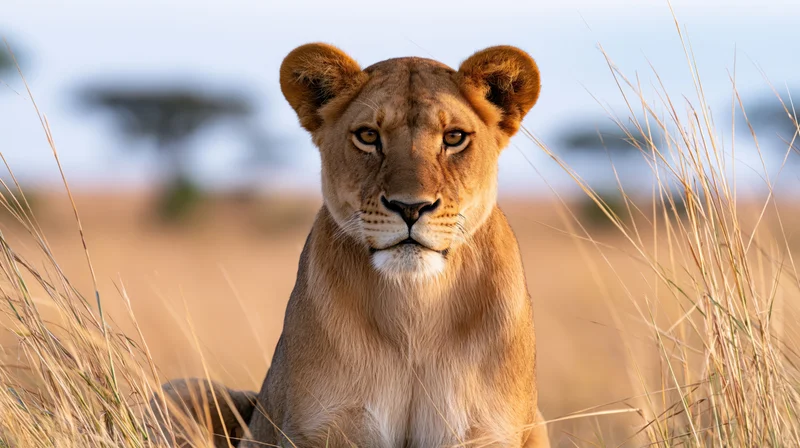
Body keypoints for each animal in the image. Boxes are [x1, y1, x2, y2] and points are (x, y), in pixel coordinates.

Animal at [150, 43, 549, 448]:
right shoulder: (320, 429)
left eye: (453, 137)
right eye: (368, 136)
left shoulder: (485, 431)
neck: (415, 311)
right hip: (182, 389)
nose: (410, 207)